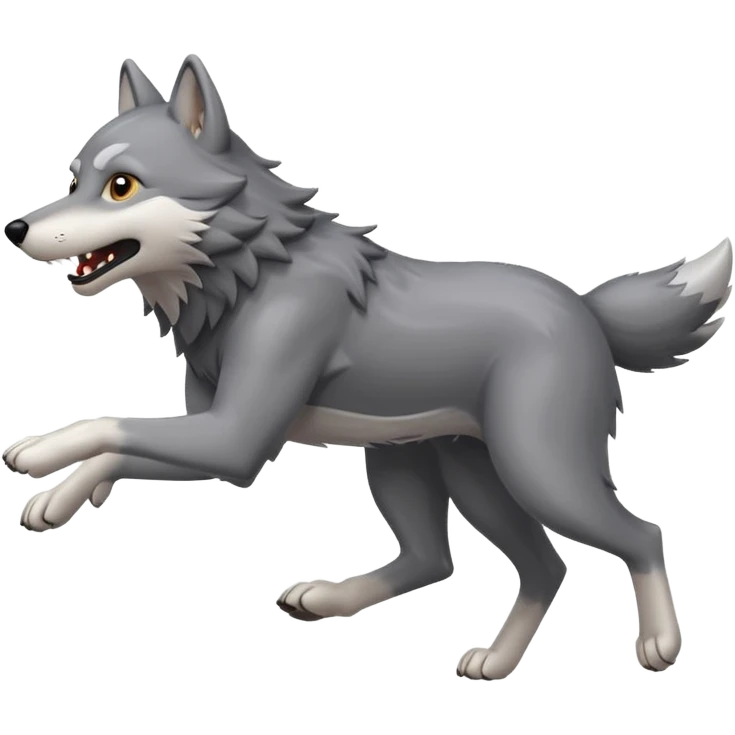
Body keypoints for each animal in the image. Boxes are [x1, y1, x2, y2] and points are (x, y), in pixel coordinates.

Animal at [3, 54, 731, 679]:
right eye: (73, 180)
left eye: (121, 186)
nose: (16, 229)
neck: (245, 273)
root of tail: (583, 305)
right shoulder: (217, 437)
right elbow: (122, 446)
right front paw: (68, 495)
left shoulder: (234, 441)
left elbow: (110, 428)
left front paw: (38, 456)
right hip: (428, 464)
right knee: (478, 562)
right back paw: (447, 643)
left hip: (537, 469)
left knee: (639, 534)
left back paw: (657, 644)